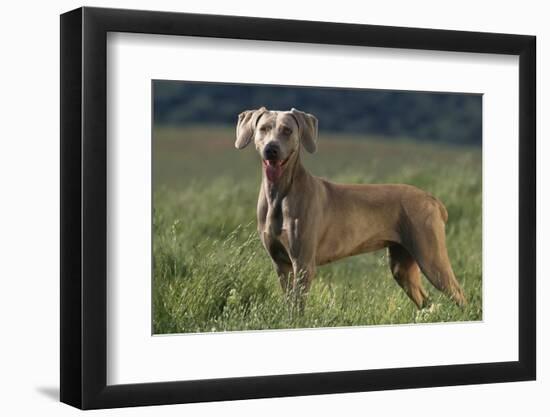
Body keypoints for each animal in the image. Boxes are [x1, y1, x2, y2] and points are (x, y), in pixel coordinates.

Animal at [235, 107, 468, 308]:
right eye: (263, 128)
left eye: (287, 130)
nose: (271, 150)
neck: (279, 194)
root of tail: (433, 199)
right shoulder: (281, 264)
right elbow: (288, 304)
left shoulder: (303, 264)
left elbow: (297, 307)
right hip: (402, 265)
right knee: (427, 302)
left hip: (431, 258)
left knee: (459, 296)